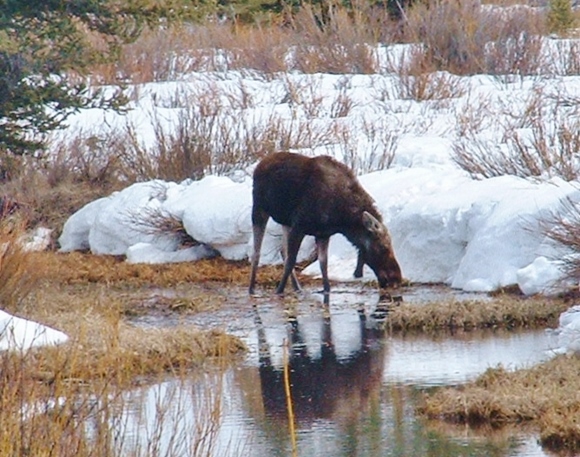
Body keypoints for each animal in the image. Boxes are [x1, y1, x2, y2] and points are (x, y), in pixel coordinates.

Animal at [249, 152, 404, 296]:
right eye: (383, 247)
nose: (397, 278)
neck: (342, 219)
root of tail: (259, 164)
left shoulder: (323, 234)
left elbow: (323, 264)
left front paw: (326, 290)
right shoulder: (299, 226)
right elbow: (291, 261)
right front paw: (279, 291)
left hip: (285, 222)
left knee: (282, 249)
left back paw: (297, 287)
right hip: (259, 209)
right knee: (257, 251)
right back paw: (252, 289)